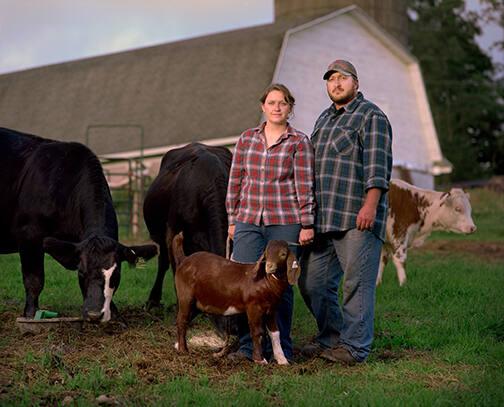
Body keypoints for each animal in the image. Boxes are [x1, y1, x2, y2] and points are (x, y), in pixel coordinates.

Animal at [0, 129, 157, 324]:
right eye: (81, 272)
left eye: (116, 274)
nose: (94, 314)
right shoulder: (29, 235)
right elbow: (34, 280)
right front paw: (30, 314)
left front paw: (113, 311)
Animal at [173, 233, 300, 366]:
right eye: (266, 254)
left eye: (283, 254)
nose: (269, 266)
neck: (266, 282)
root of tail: (184, 260)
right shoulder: (253, 307)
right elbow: (257, 332)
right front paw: (259, 360)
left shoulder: (271, 309)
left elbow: (275, 333)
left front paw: (282, 360)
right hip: (185, 296)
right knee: (182, 320)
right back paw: (183, 350)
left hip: (197, 303)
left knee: (184, 319)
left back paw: (178, 345)